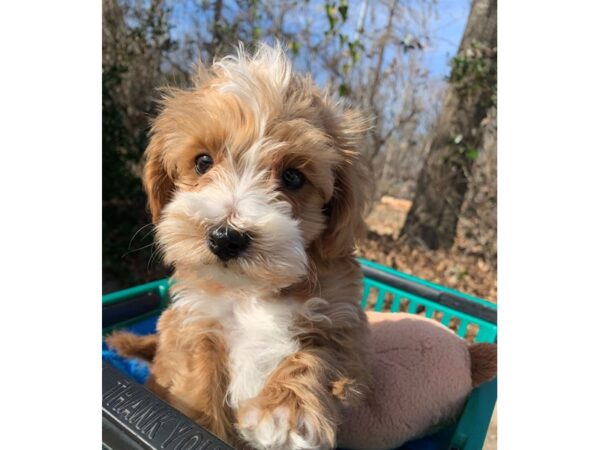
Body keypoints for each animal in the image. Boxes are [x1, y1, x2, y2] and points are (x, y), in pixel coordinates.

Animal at [106, 43, 370, 450]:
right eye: (202, 162)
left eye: (293, 177)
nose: (225, 237)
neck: (250, 293)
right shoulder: (196, 328)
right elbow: (200, 400)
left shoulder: (343, 320)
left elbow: (318, 351)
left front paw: (286, 411)